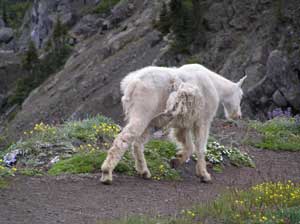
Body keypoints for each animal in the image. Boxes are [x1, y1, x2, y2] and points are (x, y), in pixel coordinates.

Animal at [101, 63, 246, 184]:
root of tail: (132, 84)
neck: (216, 86)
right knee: (124, 138)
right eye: (241, 95)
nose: (238, 115)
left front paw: (176, 160)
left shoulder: (184, 124)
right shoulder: (203, 120)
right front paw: (204, 175)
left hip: (151, 121)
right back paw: (107, 174)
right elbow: (200, 147)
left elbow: (188, 145)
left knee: (137, 143)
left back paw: (144, 172)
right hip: (142, 111)